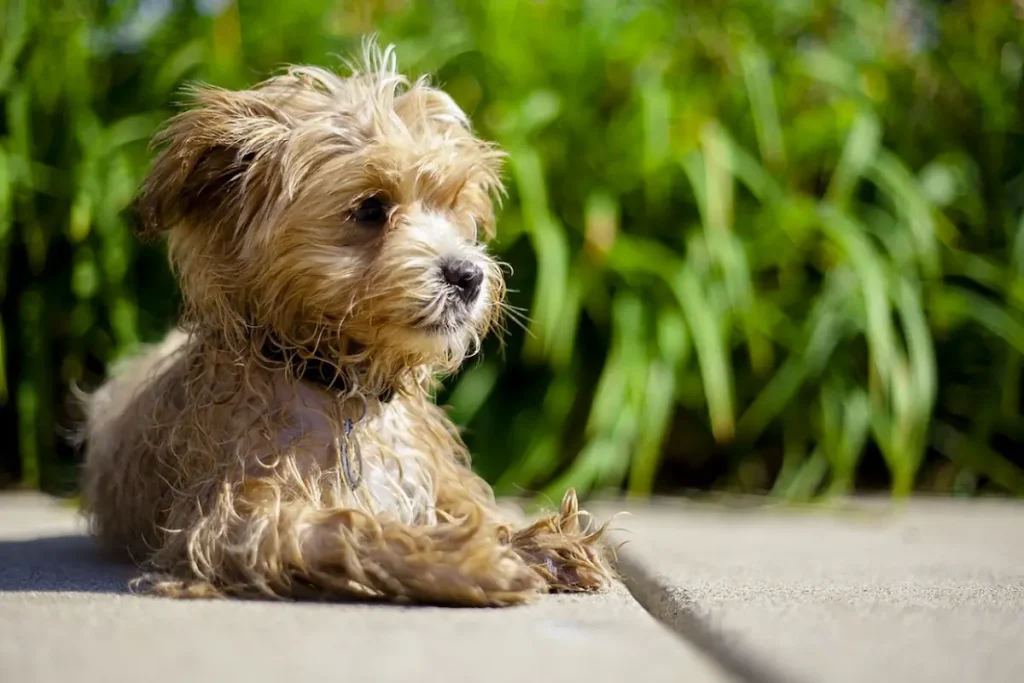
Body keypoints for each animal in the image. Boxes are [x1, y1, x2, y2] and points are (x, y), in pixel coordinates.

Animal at [77, 40, 614, 606]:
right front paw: (467, 559)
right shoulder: (234, 518)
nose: (468, 276)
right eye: (371, 208)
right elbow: (347, 527)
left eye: (453, 206)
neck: (340, 388)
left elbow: (468, 506)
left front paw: (538, 542)